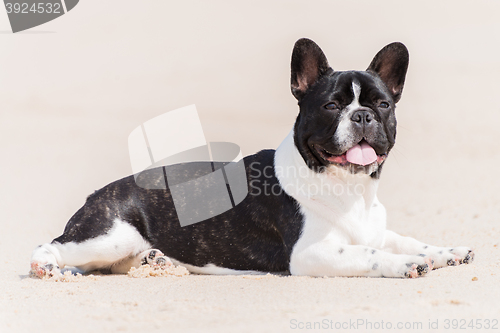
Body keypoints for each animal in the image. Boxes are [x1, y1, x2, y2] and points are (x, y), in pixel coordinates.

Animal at [29, 38, 474, 278]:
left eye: (382, 104)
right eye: (331, 106)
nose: (362, 114)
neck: (350, 188)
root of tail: (97, 194)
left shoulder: (375, 231)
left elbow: (402, 239)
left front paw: (443, 251)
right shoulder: (312, 253)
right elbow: (373, 254)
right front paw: (408, 263)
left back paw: (153, 260)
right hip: (109, 235)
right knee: (51, 246)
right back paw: (48, 268)